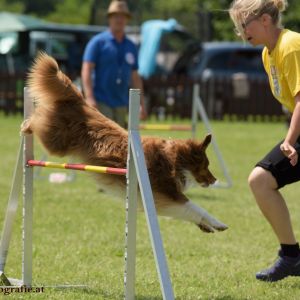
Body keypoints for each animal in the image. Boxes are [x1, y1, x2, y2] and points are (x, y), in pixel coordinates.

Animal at [21, 53, 227, 232]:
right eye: (206, 165)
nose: (215, 180)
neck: (174, 159)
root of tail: (81, 101)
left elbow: (188, 212)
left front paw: (206, 226)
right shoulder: (166, 193)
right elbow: (195, 207)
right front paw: (218, 223)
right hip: (55, 143)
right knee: (37, 119)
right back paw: (26, 124)